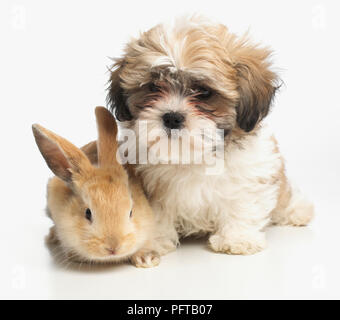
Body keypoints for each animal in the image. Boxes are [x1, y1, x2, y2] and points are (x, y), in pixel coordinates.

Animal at [107, 16, 314, 255]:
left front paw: (238, 238)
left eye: (204, 92)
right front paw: (153, 240)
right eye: (153, 87)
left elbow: (243, 202)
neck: (193, 156)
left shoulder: (252, 172)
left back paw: (297, 210)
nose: (172, 117)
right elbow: (155, 212)